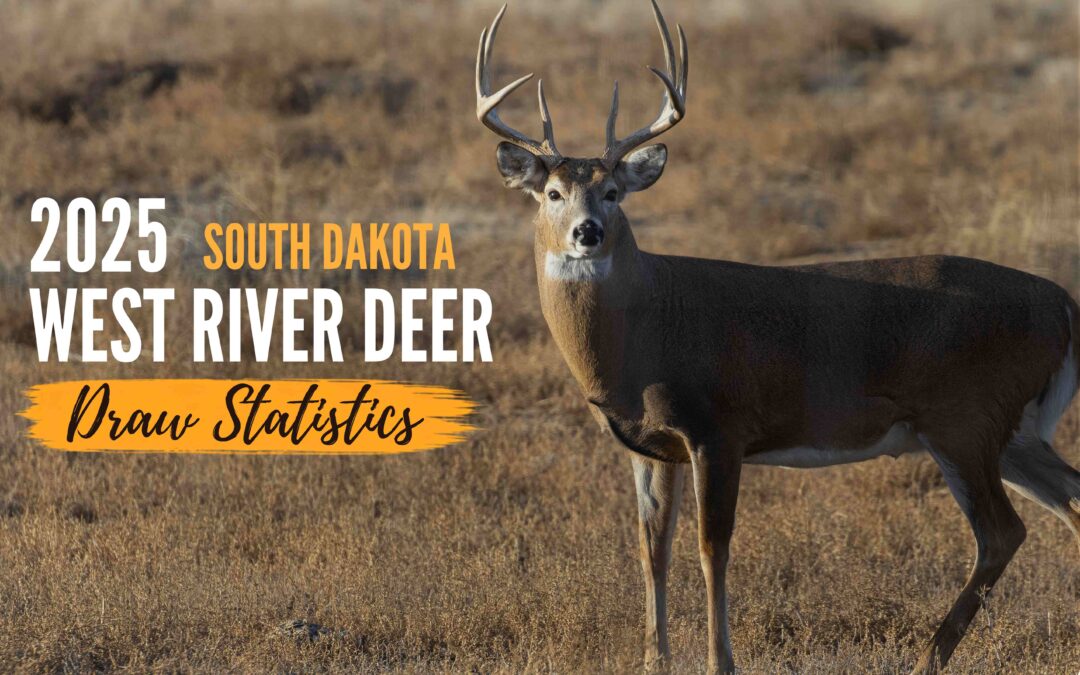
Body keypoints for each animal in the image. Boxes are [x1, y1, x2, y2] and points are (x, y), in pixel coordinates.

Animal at [475, 2, 1080, 672]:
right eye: (553, 192)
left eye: (612, 192)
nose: (588, 231)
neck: (644, 333)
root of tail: (1065, 305)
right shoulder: (647, 446)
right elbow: (652, 548)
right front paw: (654, 659)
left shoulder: (719, 426)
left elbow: (712, 547)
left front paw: (721, 660)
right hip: (1013, 430)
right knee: (1072, 502)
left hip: (964, 418)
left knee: (1002, 532)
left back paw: (928, 655)